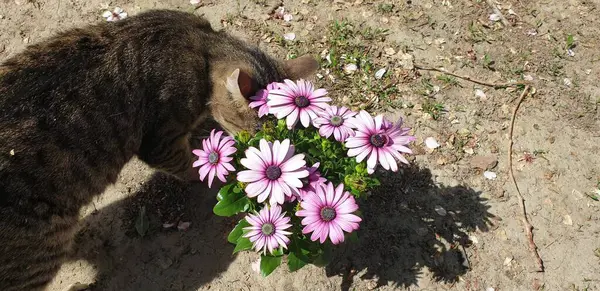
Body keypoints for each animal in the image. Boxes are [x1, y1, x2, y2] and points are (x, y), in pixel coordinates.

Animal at [0, 9, 318, 291]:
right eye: (255, 137)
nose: (270, 154)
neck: (203, 44)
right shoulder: (160, 142)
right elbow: (187, 165)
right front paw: (215, 172)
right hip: (44, 248)